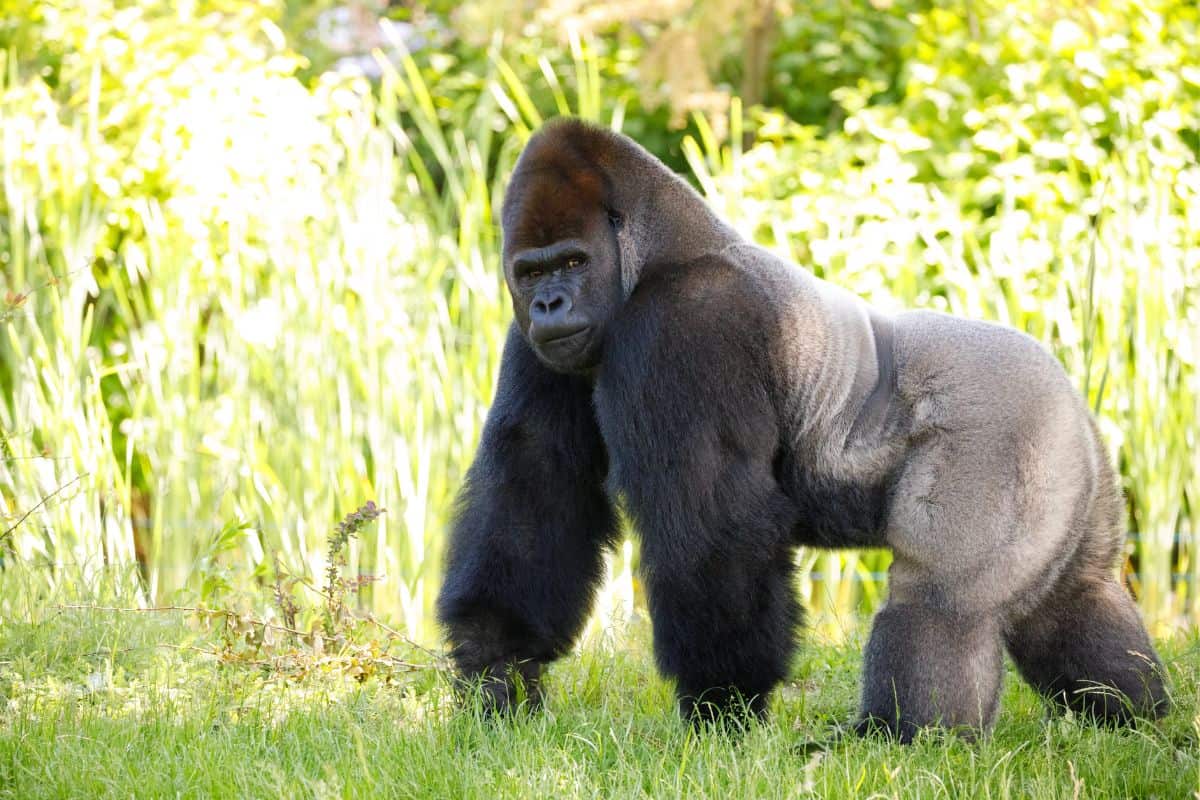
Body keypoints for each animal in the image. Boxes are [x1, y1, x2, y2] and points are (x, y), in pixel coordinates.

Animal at [435, 118, 1169, 740]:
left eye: (572, 263)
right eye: (531, 271)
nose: (549, 304)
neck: (662, 249)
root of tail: (1069, 393)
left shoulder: (688, 324)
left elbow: (711, 521)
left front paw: (723, 702)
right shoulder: (538, 343)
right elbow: (535, 483)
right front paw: (498, 663)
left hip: (1006, 430)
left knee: (941, 601)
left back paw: (906, 738)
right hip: (1068, 460)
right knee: (1072, 599)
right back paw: (1132, 715)